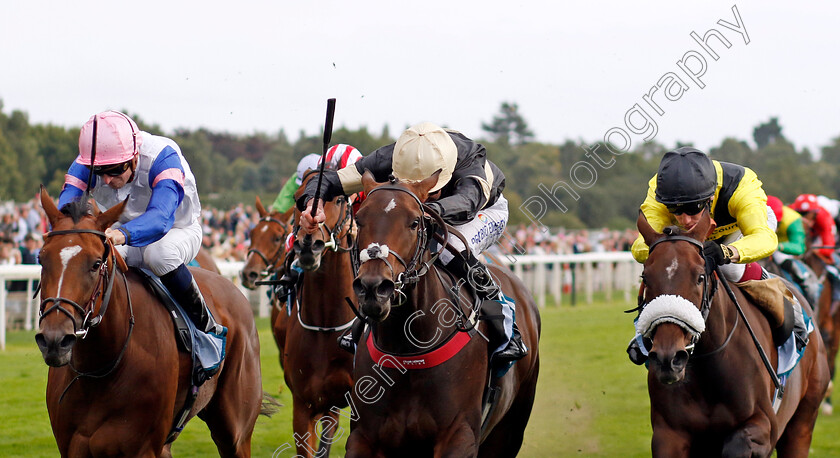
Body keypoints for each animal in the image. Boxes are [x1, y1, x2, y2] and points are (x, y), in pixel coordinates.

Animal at [34, 188, 264, 456]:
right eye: (41, 259)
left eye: (95, 264)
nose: (54, 340)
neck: (98, 371)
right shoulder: (72, 447)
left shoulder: (142, 448)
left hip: (234, 432)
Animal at [344, 171, 540, 454]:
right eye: (359, 219)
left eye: (415, 222)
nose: (373, 288)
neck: (408, 349)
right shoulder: (363, 436)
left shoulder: (460, 435)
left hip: (510, 429)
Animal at [636, 209, 828, 456]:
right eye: (645, 278)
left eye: (700, 277)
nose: (667, 358)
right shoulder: (668, 433)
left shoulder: (764, 426)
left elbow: (739, 442)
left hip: (802, 422)